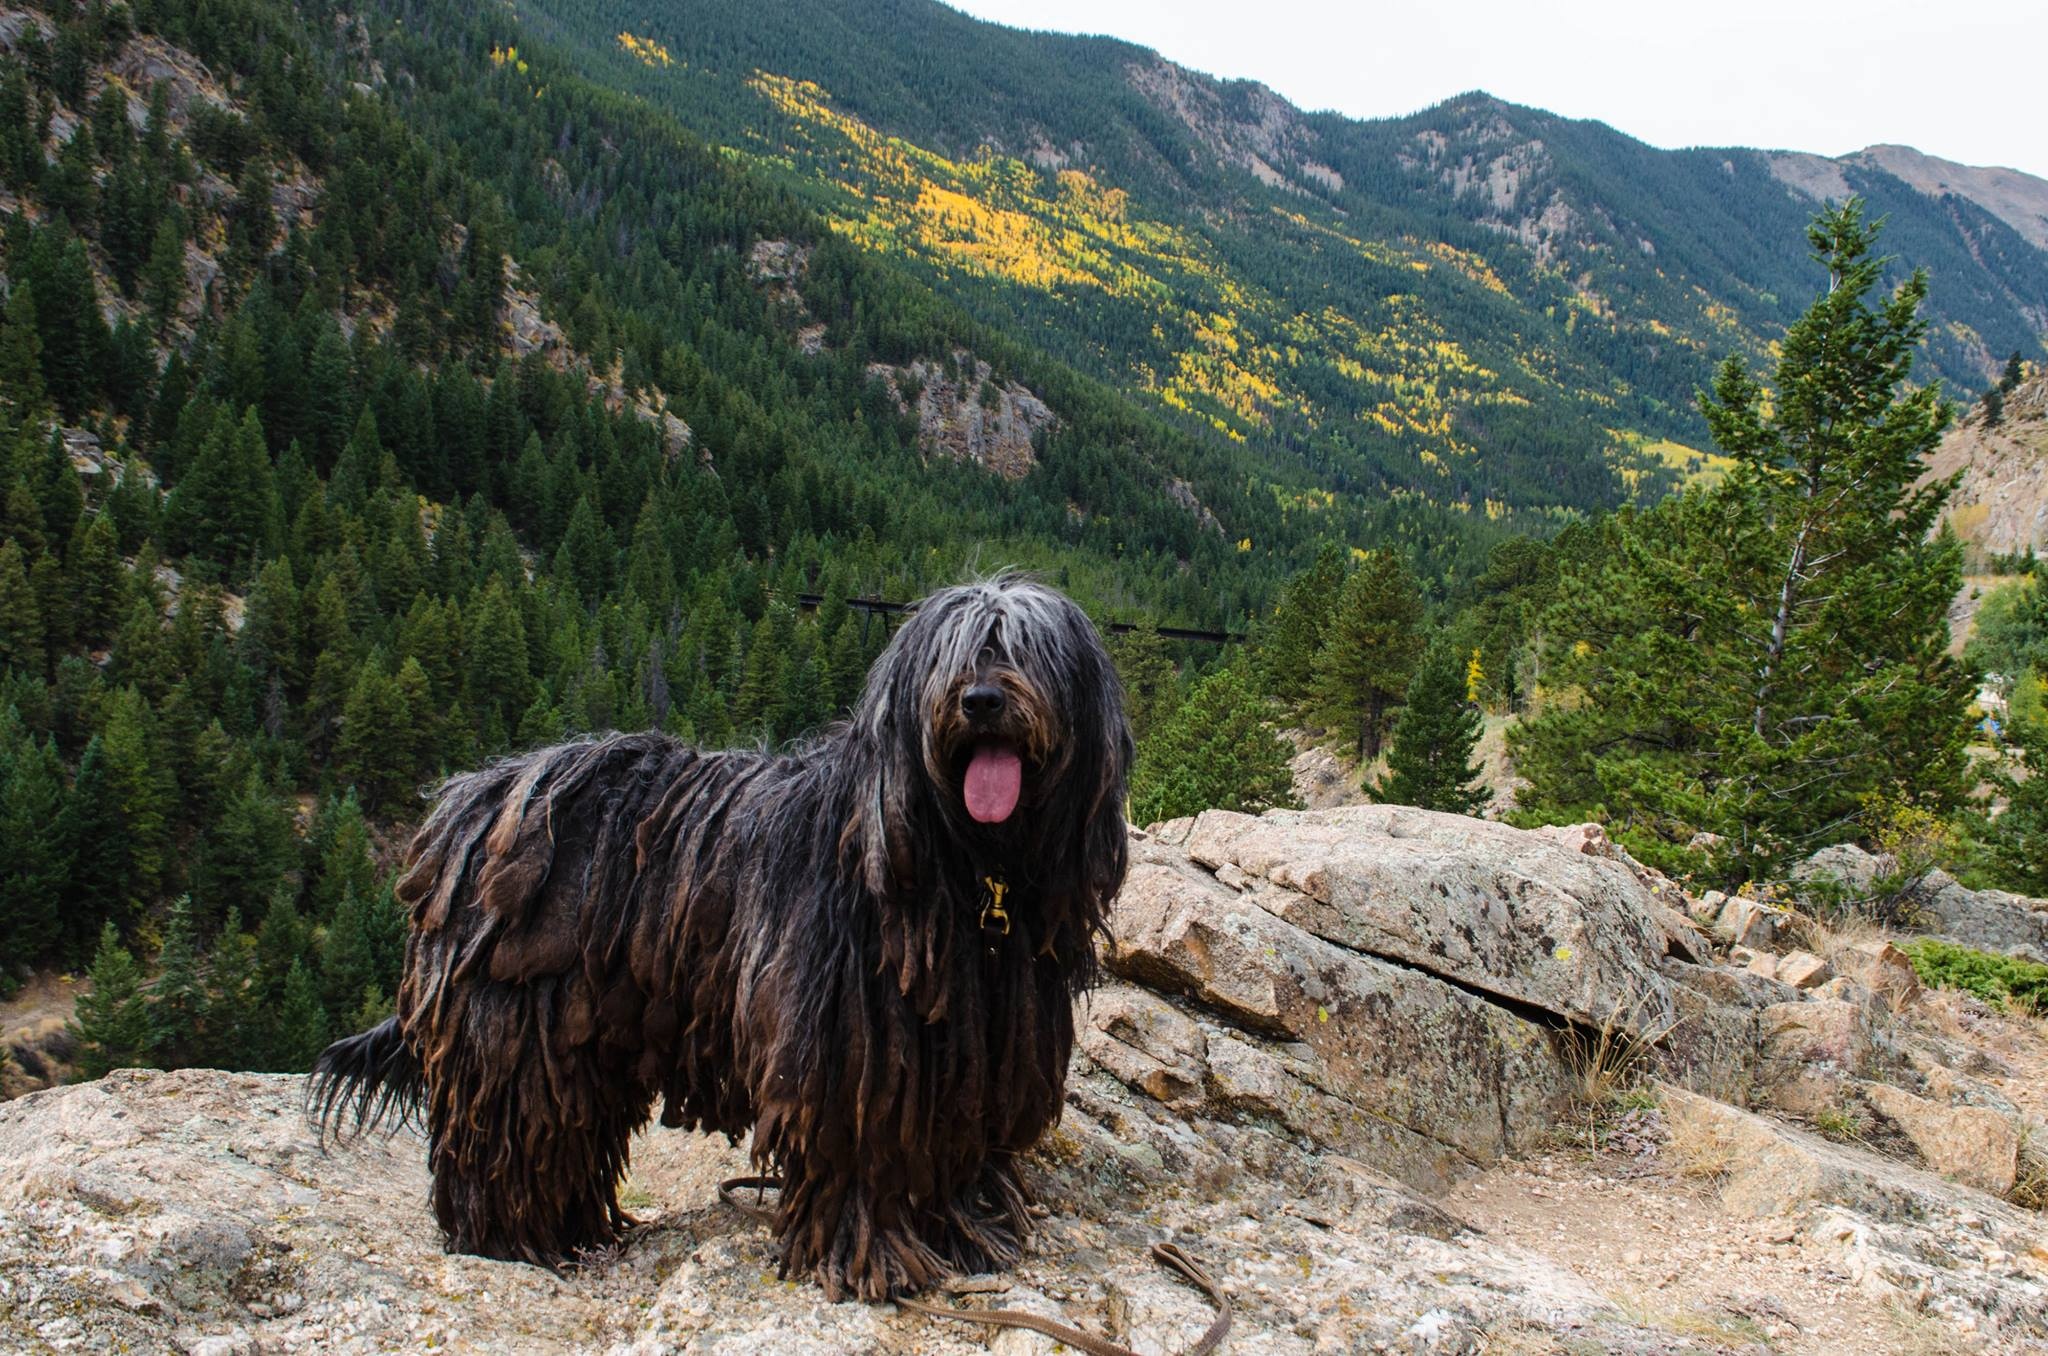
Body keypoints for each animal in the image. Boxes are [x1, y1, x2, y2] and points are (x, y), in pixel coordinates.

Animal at [305, 577, 1138, 1302]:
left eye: (1025, 649)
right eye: (954, 654)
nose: (981, 699)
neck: (965, 860)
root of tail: (466, 804)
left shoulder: (979, 1054)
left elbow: (958, 1146)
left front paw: (967, 1232)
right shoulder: (844, 1049)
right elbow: (860, 1153)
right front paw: (874, 1260)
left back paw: (572, 1231)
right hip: (515, 1029)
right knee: (507, 1137)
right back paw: (511, 1240)